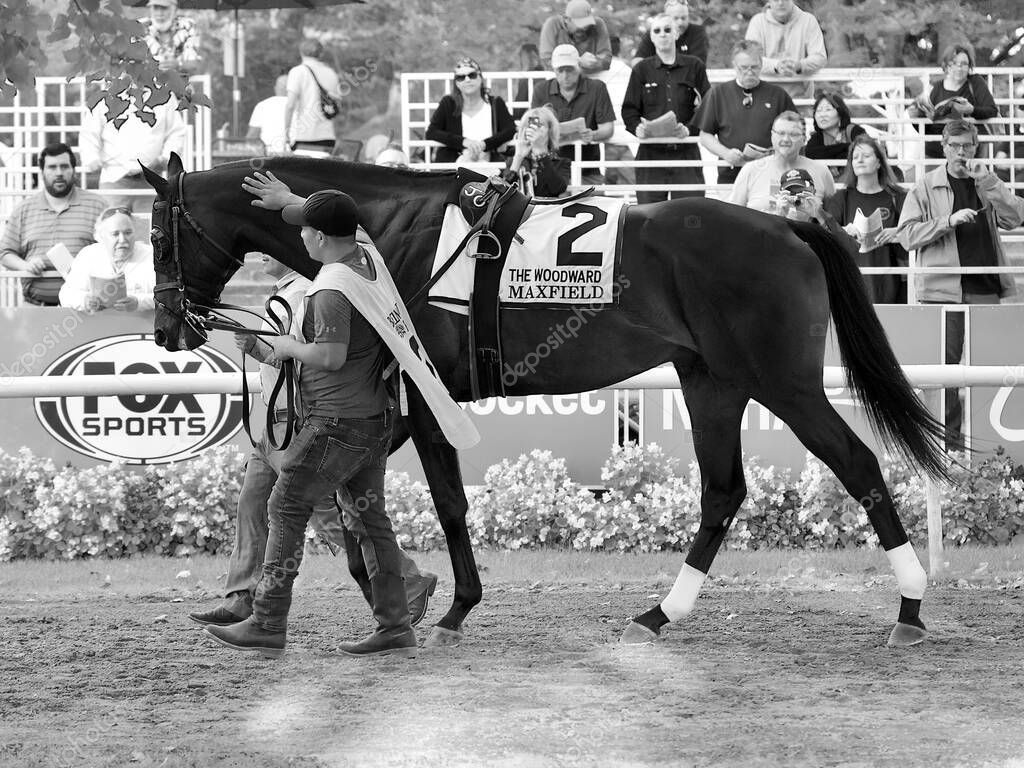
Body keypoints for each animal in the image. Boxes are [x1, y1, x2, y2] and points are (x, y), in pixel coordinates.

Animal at [143, 153, 948, 649]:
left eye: (158, 237)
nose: (167, 329)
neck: (391, 232)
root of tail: (789, 224)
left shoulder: (426, 394)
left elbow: (442, 503)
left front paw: (446, 606)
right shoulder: (398, 400)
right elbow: (337, 494)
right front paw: (400, 593)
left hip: (782, 381)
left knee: (856, 463)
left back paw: (910, 606)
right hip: (711, 381)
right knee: (723, 490)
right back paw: (659, 614)